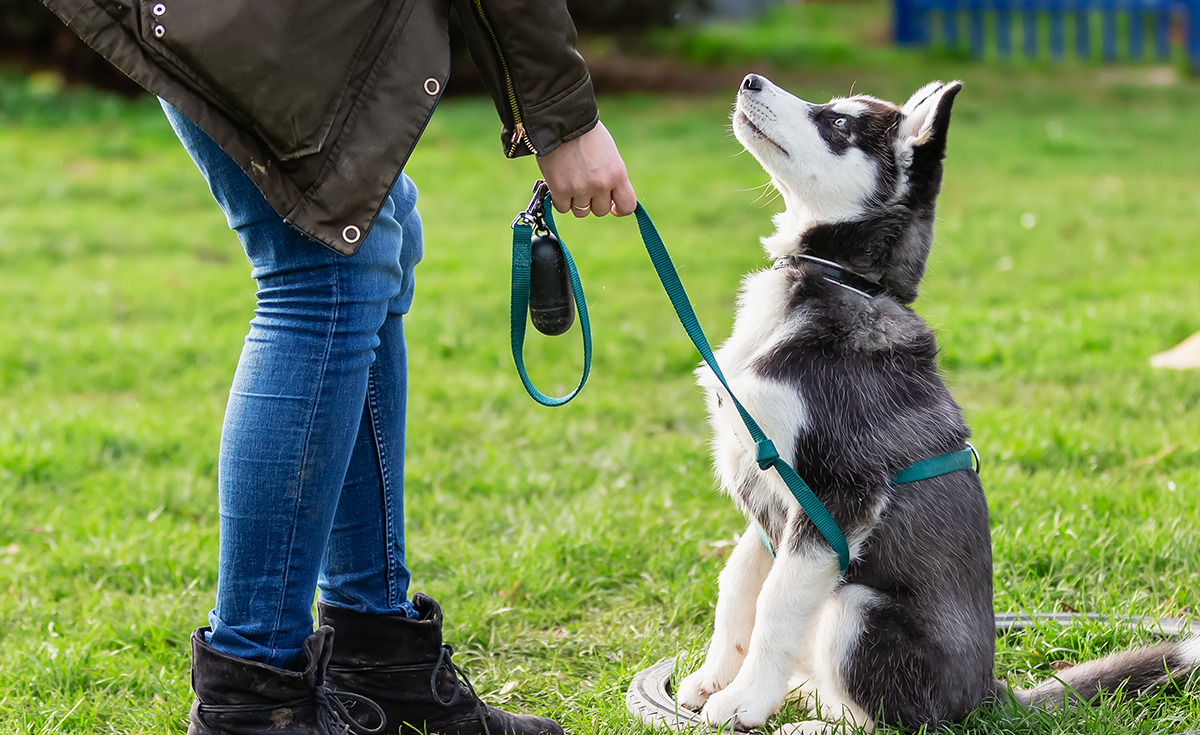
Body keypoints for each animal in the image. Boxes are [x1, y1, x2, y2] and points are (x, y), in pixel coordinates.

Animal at [676, 75, 1200, 735]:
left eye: (838, 124)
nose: (750, 80)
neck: (840, 280)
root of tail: (987, 695)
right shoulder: (769, 491)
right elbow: (738, 583)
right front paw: (714, 678)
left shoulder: (837, 495)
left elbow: (775, 600)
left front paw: (744, 700)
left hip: (857, 609)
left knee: (891, 719)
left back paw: (809, 723)